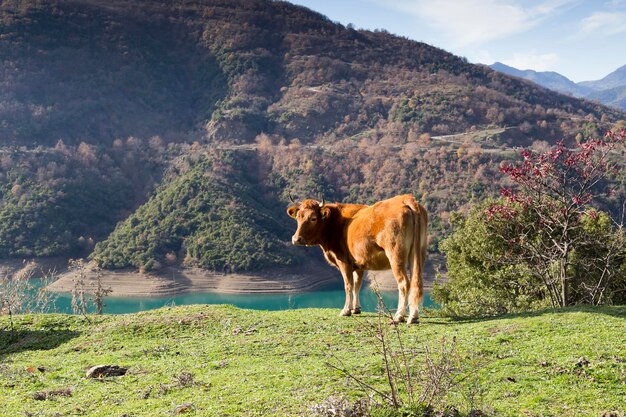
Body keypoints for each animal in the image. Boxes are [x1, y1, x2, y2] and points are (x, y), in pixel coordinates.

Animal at [286, 193, 424, 324]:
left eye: (313, 218)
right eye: (298, 217)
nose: (296, 239)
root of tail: (405, 198)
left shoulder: (343, 261)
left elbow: (348, 285)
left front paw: (346, 310)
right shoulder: (359, 264)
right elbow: (357, 285)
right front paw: (356, 309)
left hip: (395, 255)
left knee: (403, 282)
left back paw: (399, 316)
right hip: (417, 255)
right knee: (416, 282)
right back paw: (413, 316)